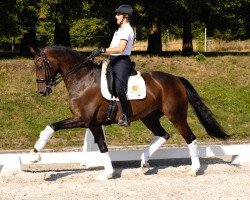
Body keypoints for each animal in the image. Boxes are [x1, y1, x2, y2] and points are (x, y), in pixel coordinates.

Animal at [28, 45, 229, 180]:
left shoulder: (84, 120)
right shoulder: (94, 124)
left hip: (176, 116)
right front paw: (108, 173)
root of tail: (176, 79)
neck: (82, 79)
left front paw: (33, 155)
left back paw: (194, 170)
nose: (42, 91)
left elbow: (51, 127)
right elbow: (102, 146)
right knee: (163, 134)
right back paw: (144, 162)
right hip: (149, 117)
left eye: (39, 65)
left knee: (190, 137)